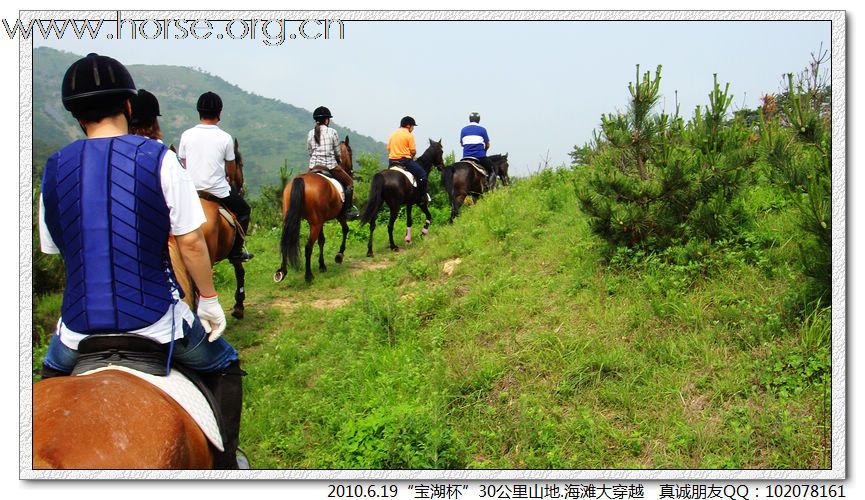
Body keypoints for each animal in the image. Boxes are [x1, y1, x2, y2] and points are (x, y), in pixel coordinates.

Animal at [272, 137, 350, 284]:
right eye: (350, 152)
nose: (351, 169)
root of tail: (300, 180)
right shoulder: (338, 215)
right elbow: (345, 230)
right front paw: (339, 255)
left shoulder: (320, 220)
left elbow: (322, 240)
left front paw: (322, 265)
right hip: (316, 224)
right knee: (308, 247)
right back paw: (308, 275)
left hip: (295, 219)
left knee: (285, 242)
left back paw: (282, 272)